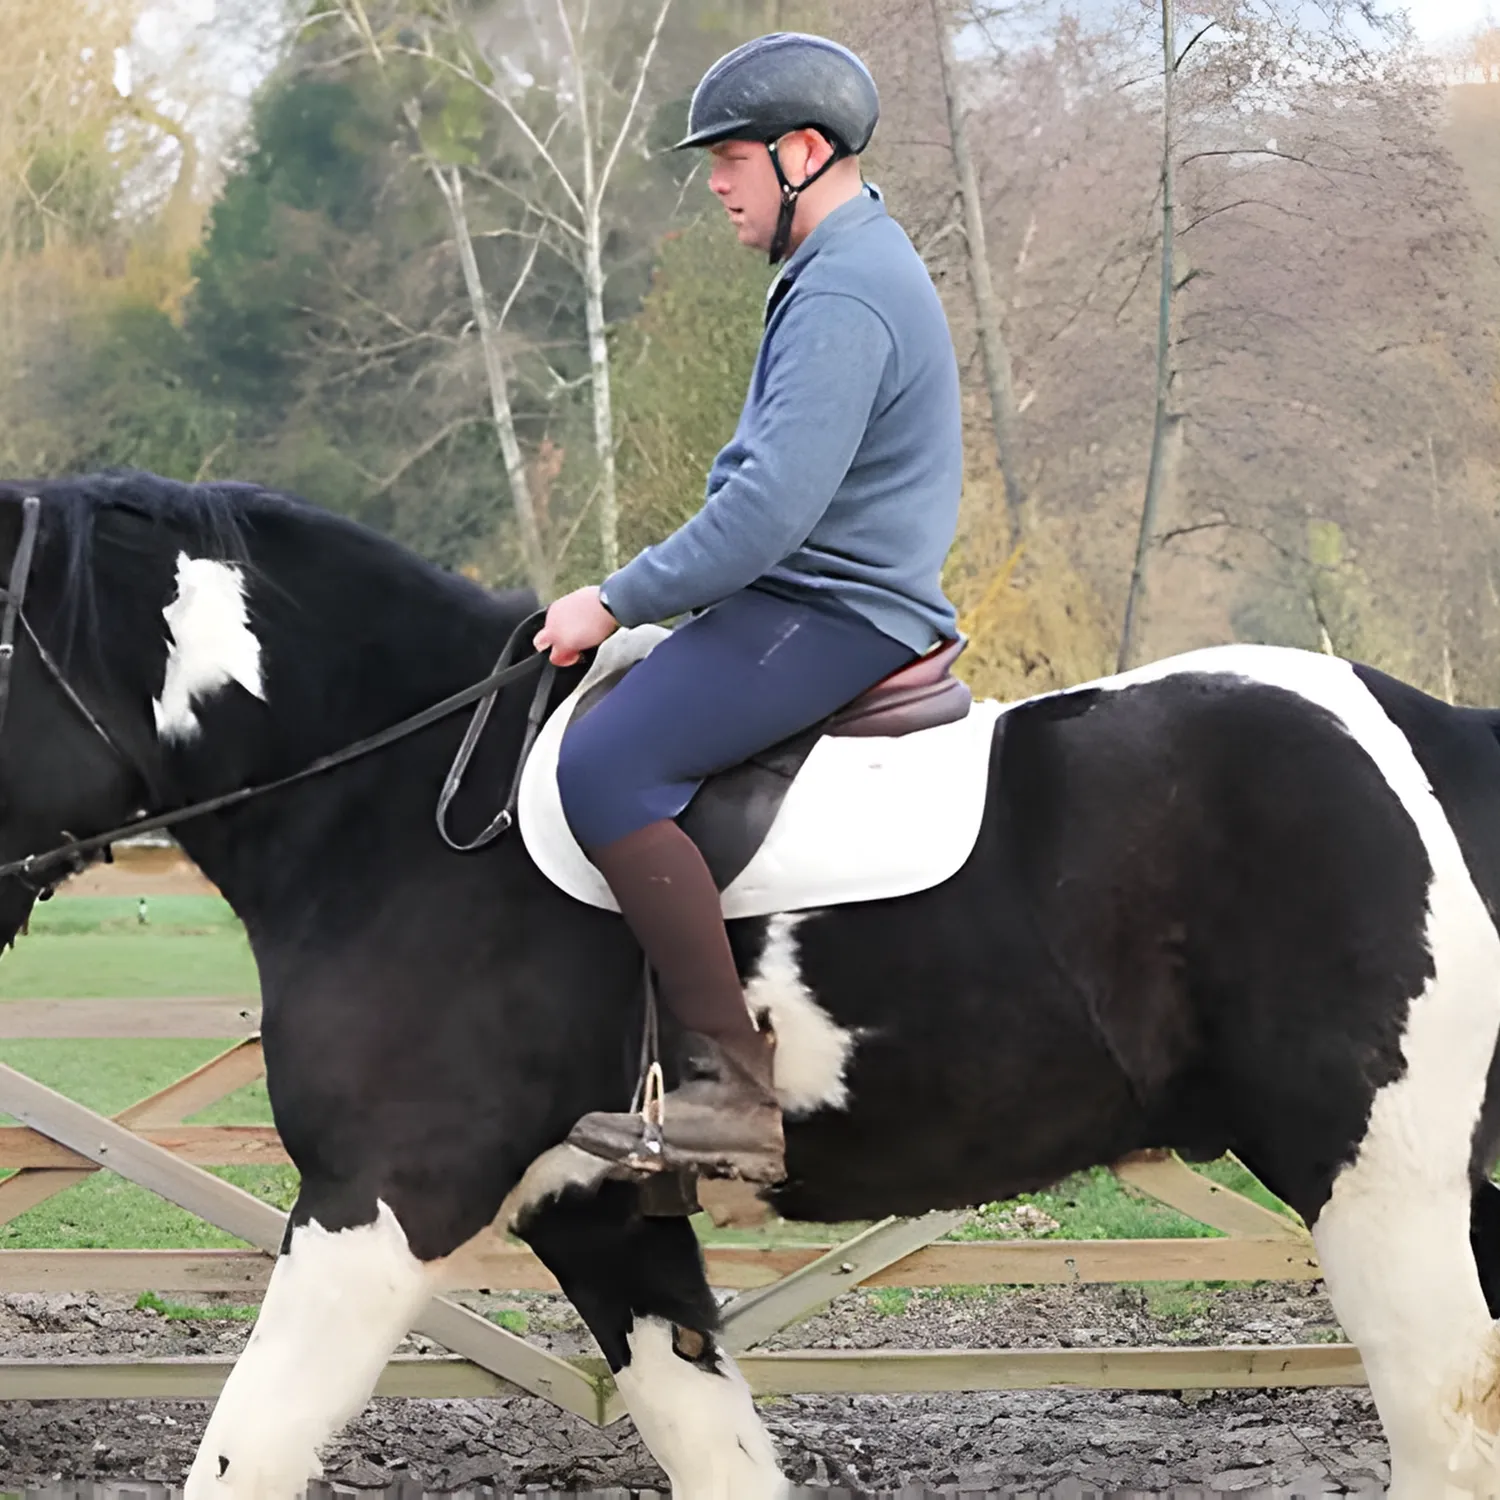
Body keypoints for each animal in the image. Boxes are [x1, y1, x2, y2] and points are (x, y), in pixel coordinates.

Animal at [2, 468, 1500, 1500]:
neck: (396, 805)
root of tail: (1430, 734)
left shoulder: (378, 1199)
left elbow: (244, 1450)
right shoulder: (603, 1219)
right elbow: (716, 1453)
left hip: (1379, 1183)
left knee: (1446, 1426)